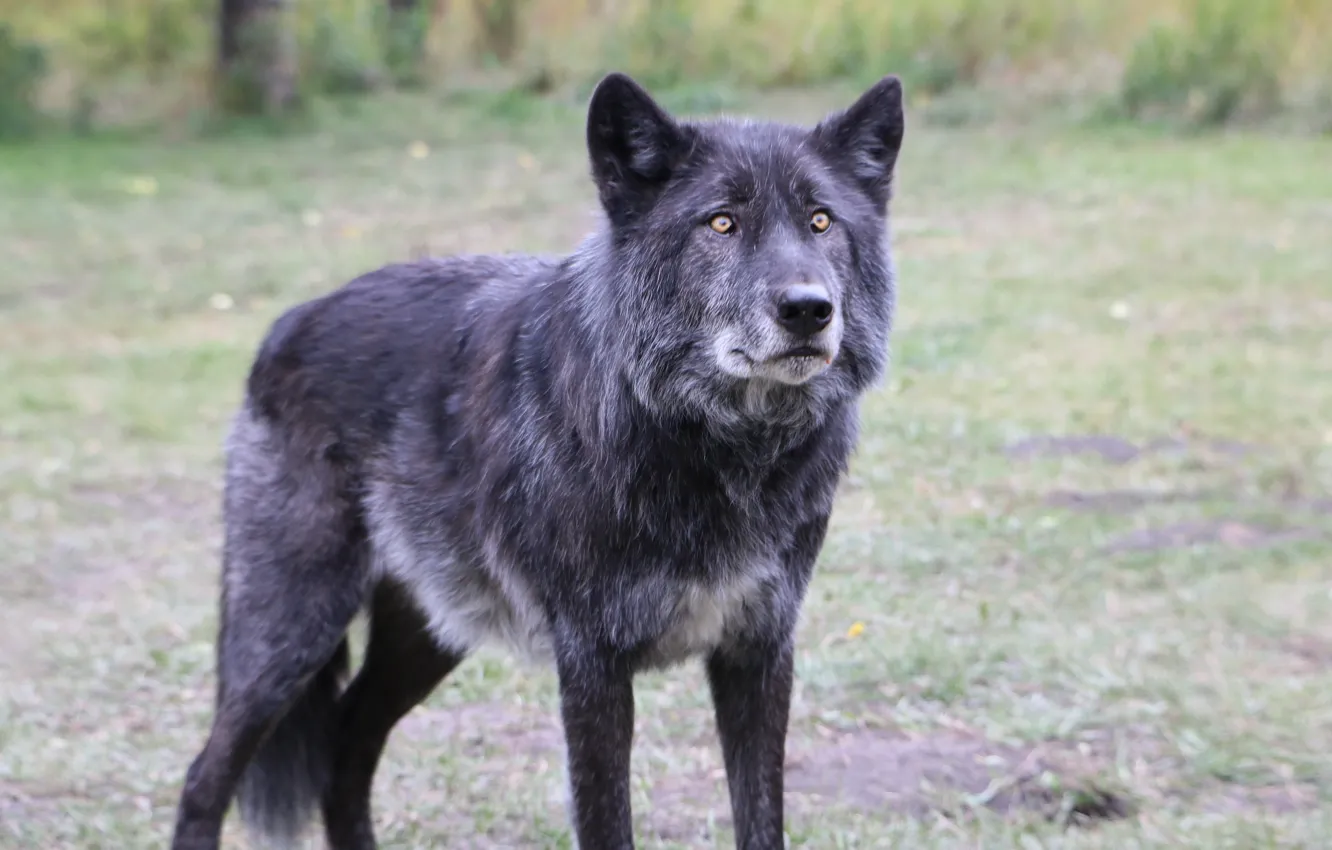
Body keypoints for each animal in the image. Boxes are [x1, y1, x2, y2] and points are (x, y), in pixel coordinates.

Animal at [170, 70, 905, 850]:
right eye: (721, 224)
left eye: (821, 221)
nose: (808, 310)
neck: (719, 449)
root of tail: (286, 322)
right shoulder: (591, 665)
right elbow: (607, 822)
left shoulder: (759, 651)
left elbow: (761, 822)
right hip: (288, 634)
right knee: (206, 775)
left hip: (426, 637)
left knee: (346, 747)